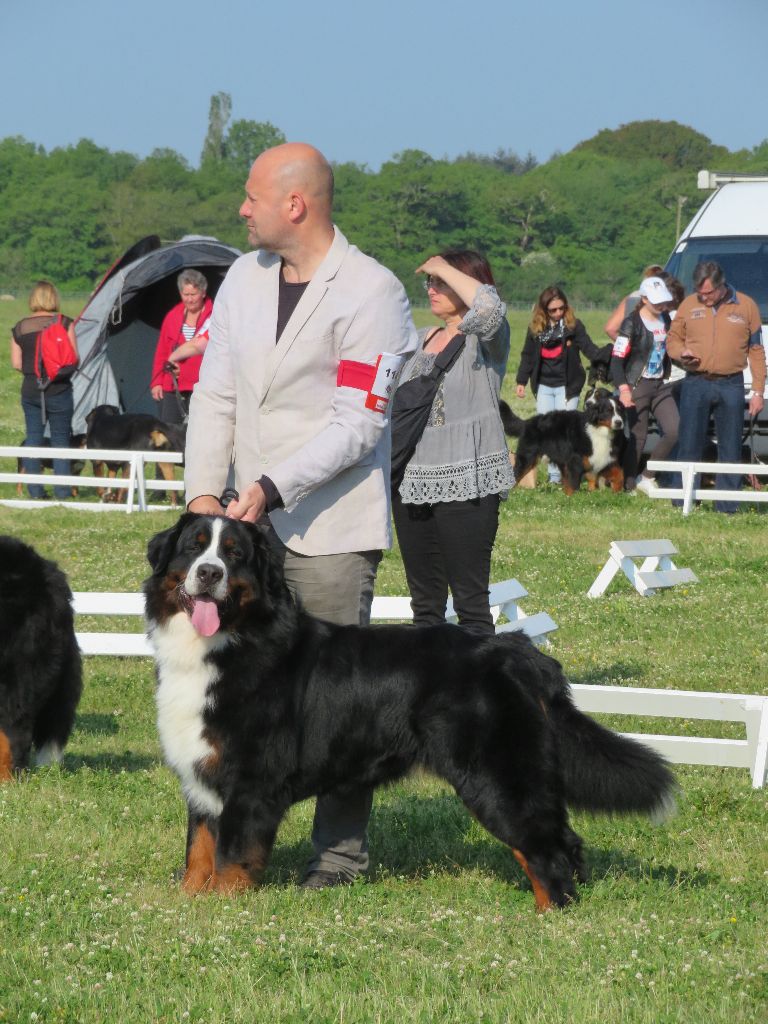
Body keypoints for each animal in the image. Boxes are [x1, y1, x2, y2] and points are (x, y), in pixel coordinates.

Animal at [143, 512, 671, 913]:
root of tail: (515, 651)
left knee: (546, 848)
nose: (209, 573)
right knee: (564, 841)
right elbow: (199, 851)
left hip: (497, 777)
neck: (228, 643)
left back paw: (551, 914)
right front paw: (187, 904)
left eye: (234, 554)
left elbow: (231, 859)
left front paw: (222, 911)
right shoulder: (205, 775)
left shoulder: (249, 784)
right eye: (193, 548)